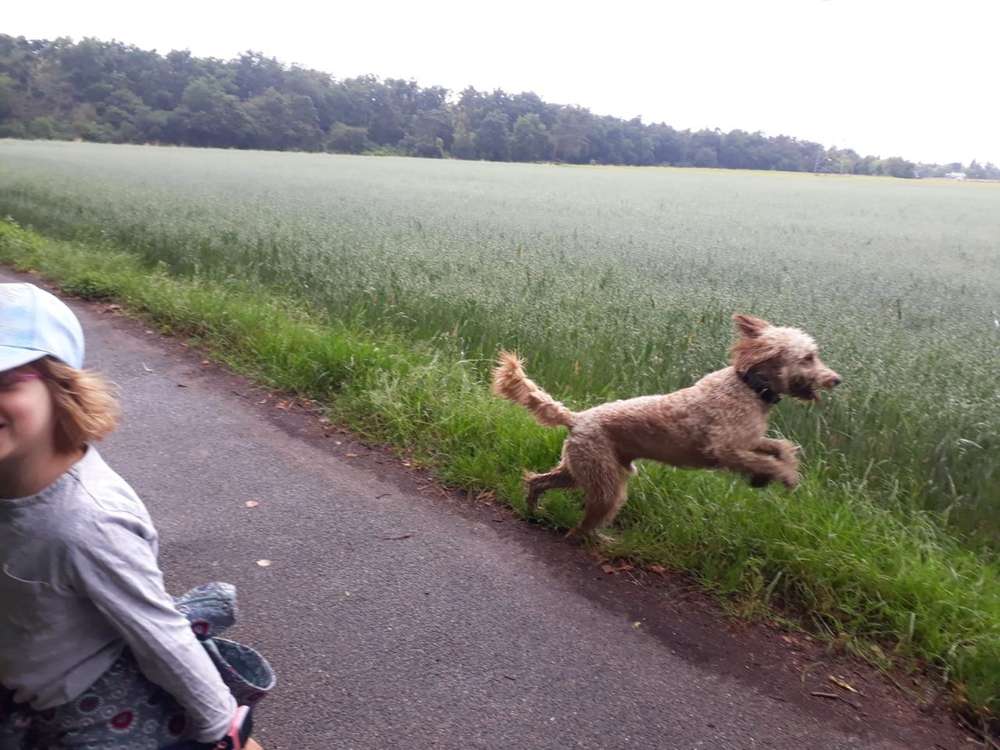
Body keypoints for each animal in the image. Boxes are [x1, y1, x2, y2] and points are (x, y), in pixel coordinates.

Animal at [492, 316, 844, 540]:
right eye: (808, 357)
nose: (836, 379)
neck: (748, 385)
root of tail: (576, 418)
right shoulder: (725, 448)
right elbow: (765, 459)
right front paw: (783, 477)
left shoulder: (749, 439)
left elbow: (779, 446)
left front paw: (775, 472)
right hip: (605, 481)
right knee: (588, 518)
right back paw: (587, 537)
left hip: (578, 469)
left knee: (538, 481)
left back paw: (534, 509)